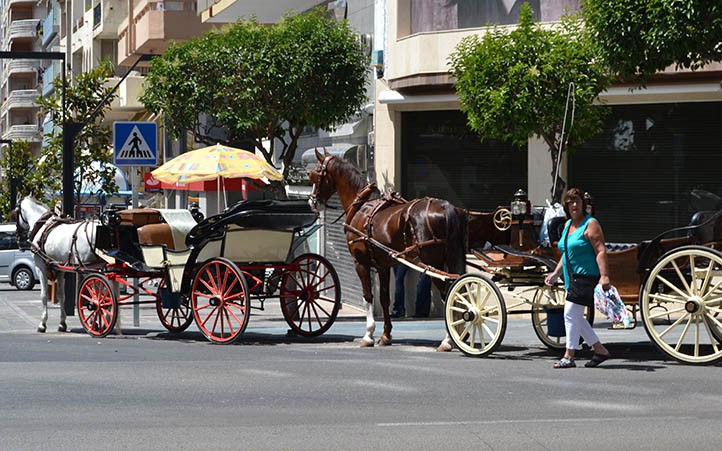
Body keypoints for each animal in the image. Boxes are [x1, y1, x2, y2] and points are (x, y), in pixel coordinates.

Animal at [14, 196, 99, 334]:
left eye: (15, 213)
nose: (18, 237)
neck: (43, 225)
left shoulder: (40, 267)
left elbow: (43, 295)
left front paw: (42, 323)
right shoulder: (59, 269)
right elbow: (61, 295)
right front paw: (62, 323)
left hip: (90, 269)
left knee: (97, 294)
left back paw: (94, 320)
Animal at [306, 150, 464, 348]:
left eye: (315, 173)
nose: (312, 202)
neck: (362, 205)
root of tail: (445, 206)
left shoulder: (361, 262)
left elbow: (368, 296)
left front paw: (368, 335)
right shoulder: (383, 265)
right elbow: (384, 297)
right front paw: (386, 335)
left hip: (432, 262)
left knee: (448, 293)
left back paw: (448, 339)